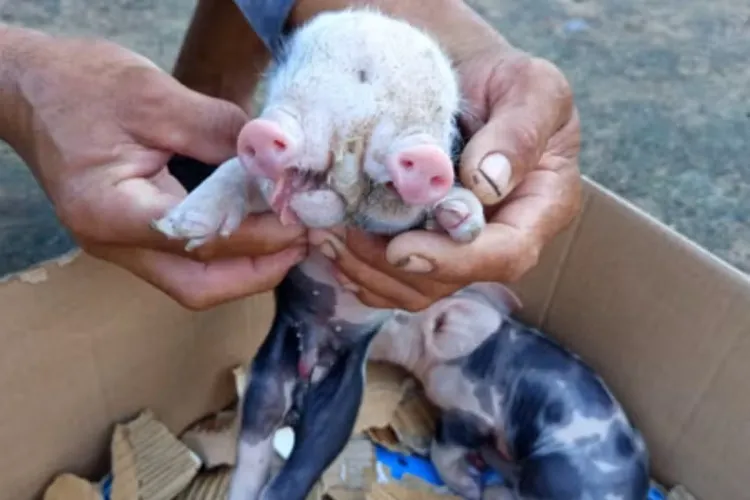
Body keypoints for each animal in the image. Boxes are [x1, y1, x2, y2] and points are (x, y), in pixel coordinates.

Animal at [151, 8, 488, 500]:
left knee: (302, 464)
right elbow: (237, 170)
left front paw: (460, 217)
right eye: (361, 76)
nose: (426, 157)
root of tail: (311, 364)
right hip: (266, 379)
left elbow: (446, 208)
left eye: (447, 118)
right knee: (255, 450)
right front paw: (181, 227)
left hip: (341, 406)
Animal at [367, 282, 651, 500]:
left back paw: (491, 489)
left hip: (549, 473)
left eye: (397, 315)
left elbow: (444, 447)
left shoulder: (473, 412)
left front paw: (470, 488)